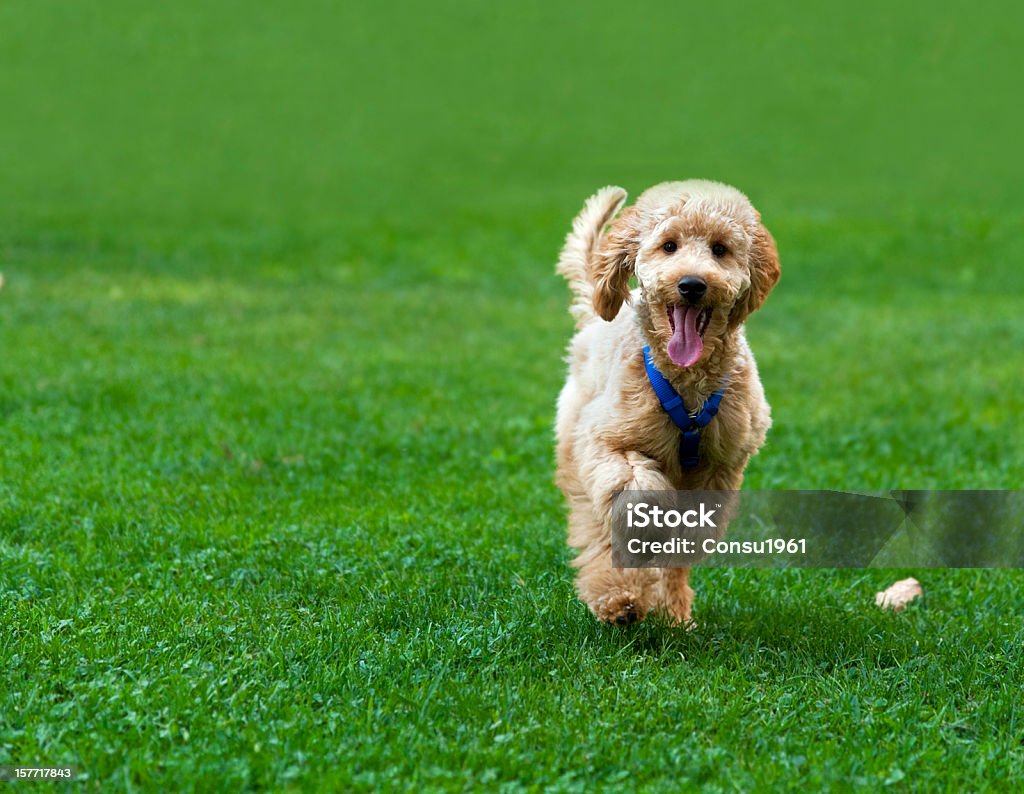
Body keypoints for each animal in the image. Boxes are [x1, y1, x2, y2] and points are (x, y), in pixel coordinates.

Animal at [557, 180, 778, 627]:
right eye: (669, 245)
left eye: (720, 249)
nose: (692, 284)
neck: (688, 387)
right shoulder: (606, 440)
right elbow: (635, 495)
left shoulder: (720, 469)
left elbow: (685, 540)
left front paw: (670, 602)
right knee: (595, 527)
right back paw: (618, 598)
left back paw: (671, 614)